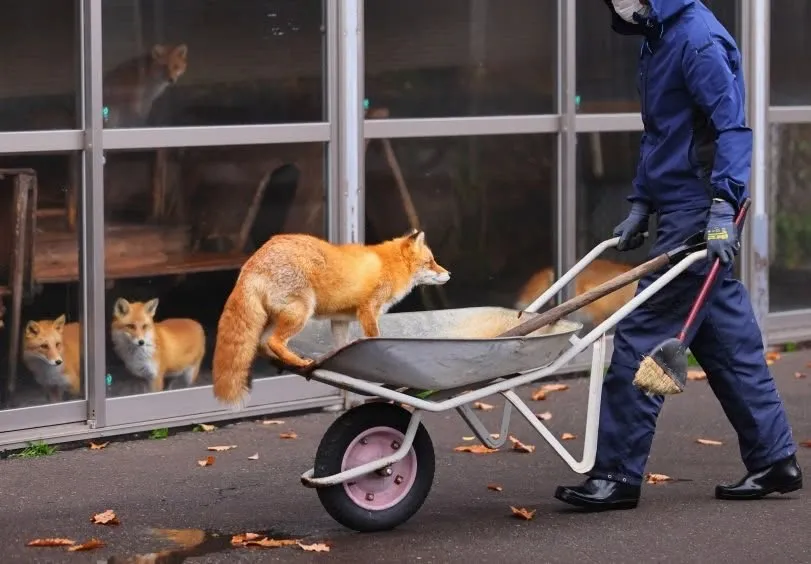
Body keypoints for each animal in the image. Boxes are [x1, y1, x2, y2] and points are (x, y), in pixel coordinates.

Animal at [212, 229, 451, 408]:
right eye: (430, 262)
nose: (449, 274)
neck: (389, 265)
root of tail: (253, 261)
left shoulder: (340, 320)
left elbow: (341, 348)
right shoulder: (368, 309)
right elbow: (374, 338)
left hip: (274, 318)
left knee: (262, 344)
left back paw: (286, 360)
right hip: (301, 312)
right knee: (274, 341)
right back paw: (299, 362)